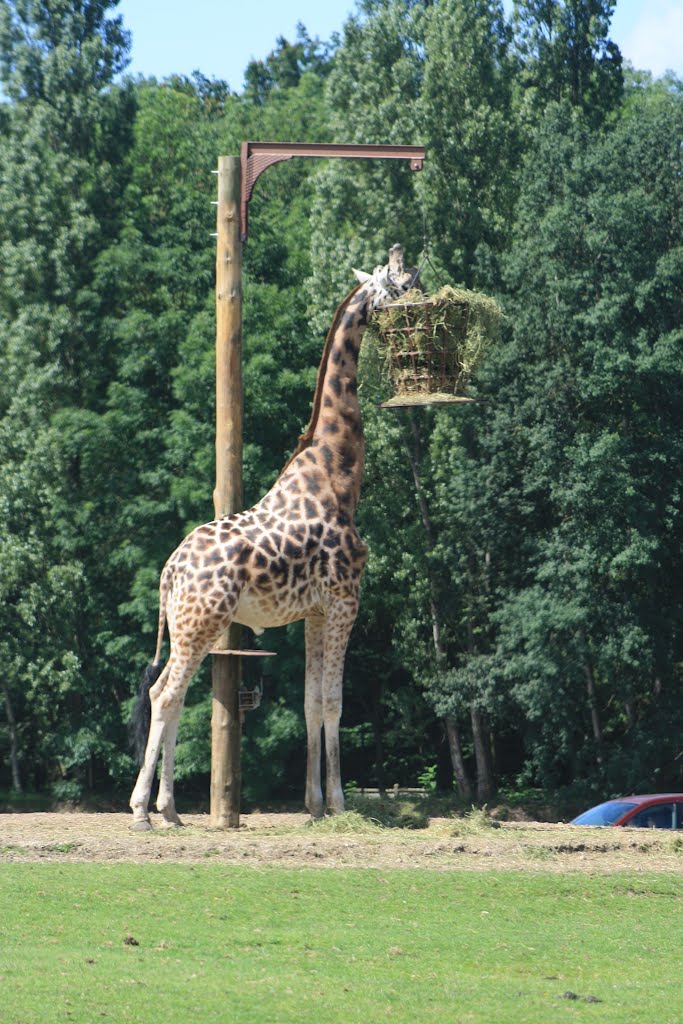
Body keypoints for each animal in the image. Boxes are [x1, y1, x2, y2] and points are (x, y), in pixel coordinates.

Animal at [127, 241, 417, 831]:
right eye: (405, 281)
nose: (425, 302)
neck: (340, 476)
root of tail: (169, 571)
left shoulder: (315, 611)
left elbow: (310, 701)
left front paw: (314, 805)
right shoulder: (346, 600)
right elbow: (333, 701)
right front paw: (340, 804)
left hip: (196, 627)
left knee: (171, 694)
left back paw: (172, 811)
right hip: (201, 622)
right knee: (165, 695)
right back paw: (143, 811)